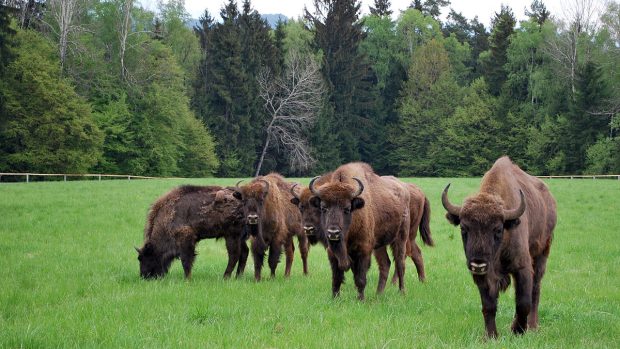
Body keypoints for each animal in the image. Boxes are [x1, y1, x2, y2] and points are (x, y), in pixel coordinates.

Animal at [306, 162, 412, 298]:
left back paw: (402, 292)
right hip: (379, 245)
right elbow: (336, 278)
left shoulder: (364, 250)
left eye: (347, 208)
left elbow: (360, 278)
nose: (333, 233)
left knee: (400, 263)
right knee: (385, 264)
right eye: (324, 208)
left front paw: (361, 299)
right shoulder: (332, 253)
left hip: (400, 238)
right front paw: (335, 298)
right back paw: (379, 294)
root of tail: (404, 190)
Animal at [440, 157, 556, 338]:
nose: (478, 264)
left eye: (498, 229)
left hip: (542, 252)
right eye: (463, 228)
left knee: (535, 290)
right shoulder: (484, 276)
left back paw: (533, 326)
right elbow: (489, 305)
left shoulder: (522, 268)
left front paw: (518, 331)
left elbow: (523, 302)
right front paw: (490, 336)